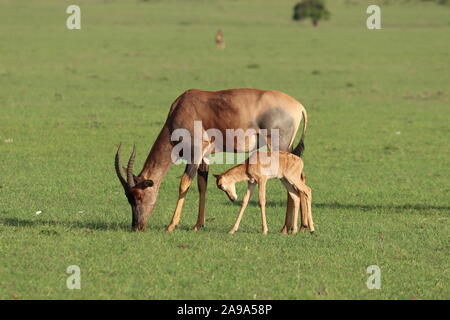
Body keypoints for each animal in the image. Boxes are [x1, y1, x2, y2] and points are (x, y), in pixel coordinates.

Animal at [114, 89, 308, 231]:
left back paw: (287, 228)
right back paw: (299, 227)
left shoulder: (195, 153)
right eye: (128, 197)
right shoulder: (204, 157)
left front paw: (171, 225)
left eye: (138, 196)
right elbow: (202, 185)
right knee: (300, 178)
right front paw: (197, 225)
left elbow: (184, 184)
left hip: (279, 147)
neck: (181, 108)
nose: (137, 227)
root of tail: (299, 107)